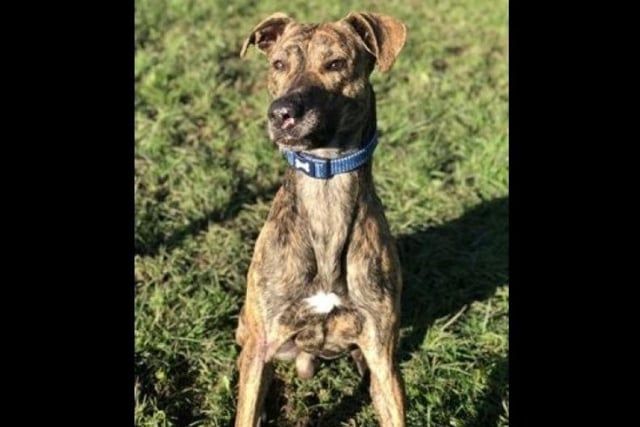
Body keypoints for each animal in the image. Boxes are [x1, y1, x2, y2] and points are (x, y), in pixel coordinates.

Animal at [236, 11, 410, 426]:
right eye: (278, 64)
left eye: (335, 64)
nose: (281, 113)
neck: (326, 186)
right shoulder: (261, 344)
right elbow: (246, 408)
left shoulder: (383, 355)